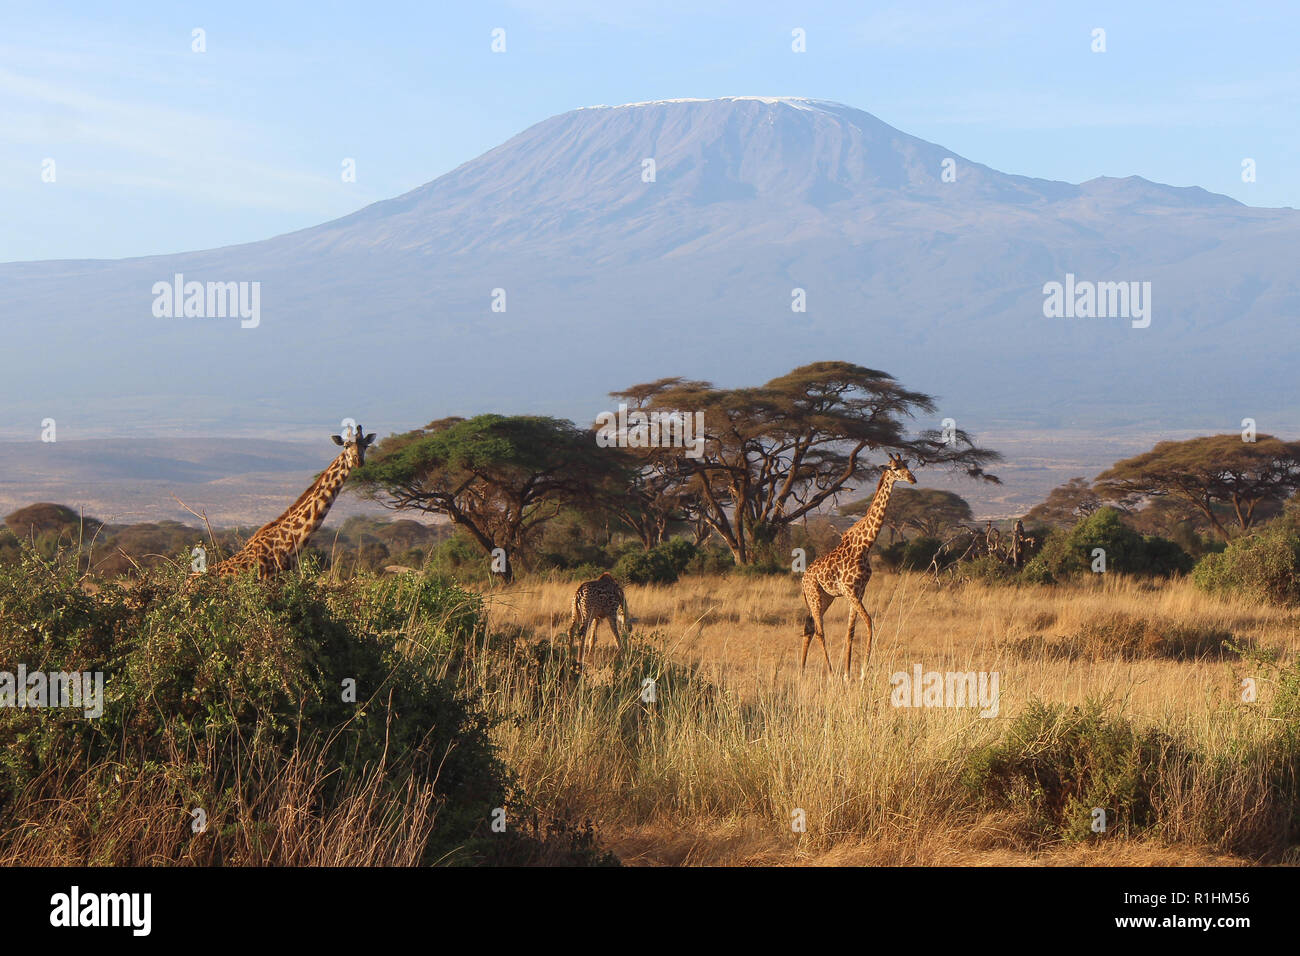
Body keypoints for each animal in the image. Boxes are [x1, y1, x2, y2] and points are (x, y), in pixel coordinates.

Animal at [795, 455, 920, 671]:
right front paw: (863, 671)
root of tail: (803, 579)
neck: (865, 546)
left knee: (809, 629)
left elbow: (850, 632)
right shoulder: (849, 591)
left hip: (825, 598)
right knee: (819, 631)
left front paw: (848, 674)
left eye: (907, 466)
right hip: (814, 597)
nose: (912, 479)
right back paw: (829, 673)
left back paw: (801, 672)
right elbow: (869, 622)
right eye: (895, 468)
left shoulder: (859, 591)